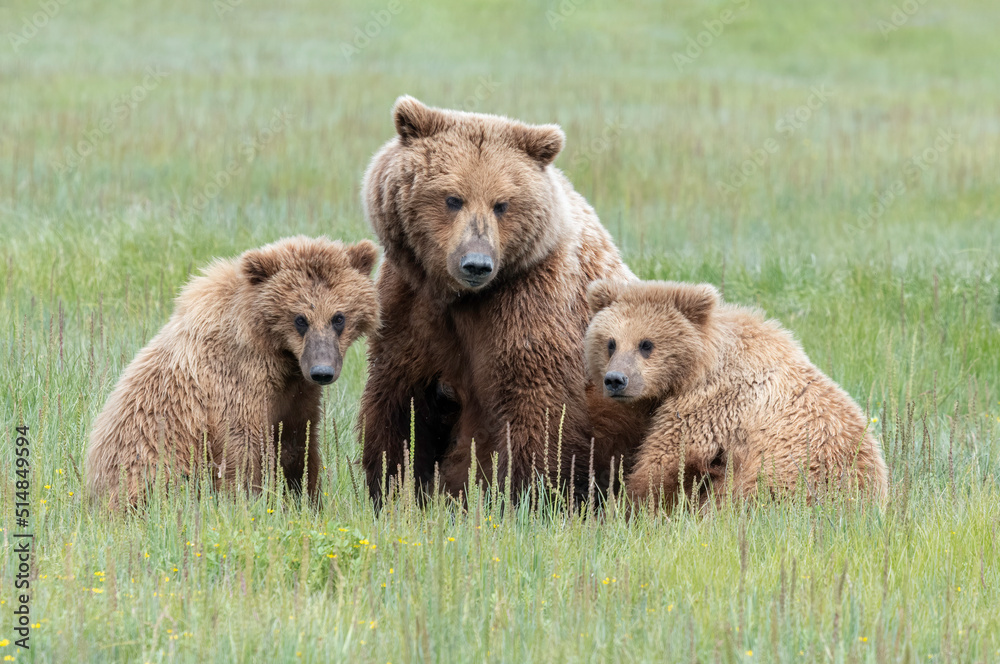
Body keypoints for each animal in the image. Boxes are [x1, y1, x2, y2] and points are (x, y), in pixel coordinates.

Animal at [86, 236, 379, 508]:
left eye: (338, 317)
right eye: (300, 319)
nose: (322, 371)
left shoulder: (296, 393)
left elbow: (299, 443)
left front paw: (306, 500)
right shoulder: (238, 383)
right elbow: (244, 451)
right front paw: (250, 501)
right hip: (151, 459)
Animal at [358, 96, 634, 504]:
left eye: (502, 204)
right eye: (453, 198)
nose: (476, 263)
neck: (459, 297)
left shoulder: (527, 303)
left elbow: (536, 408)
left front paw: (523, 496)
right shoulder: (409, 304)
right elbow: (399, 401)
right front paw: (393, 487)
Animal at [584, 279, 889, 508]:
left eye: (646, 344)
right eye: (611, 343)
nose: (616, 380)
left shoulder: (712, 405)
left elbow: (666, 461)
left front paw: (627, 504)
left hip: (786, 476)